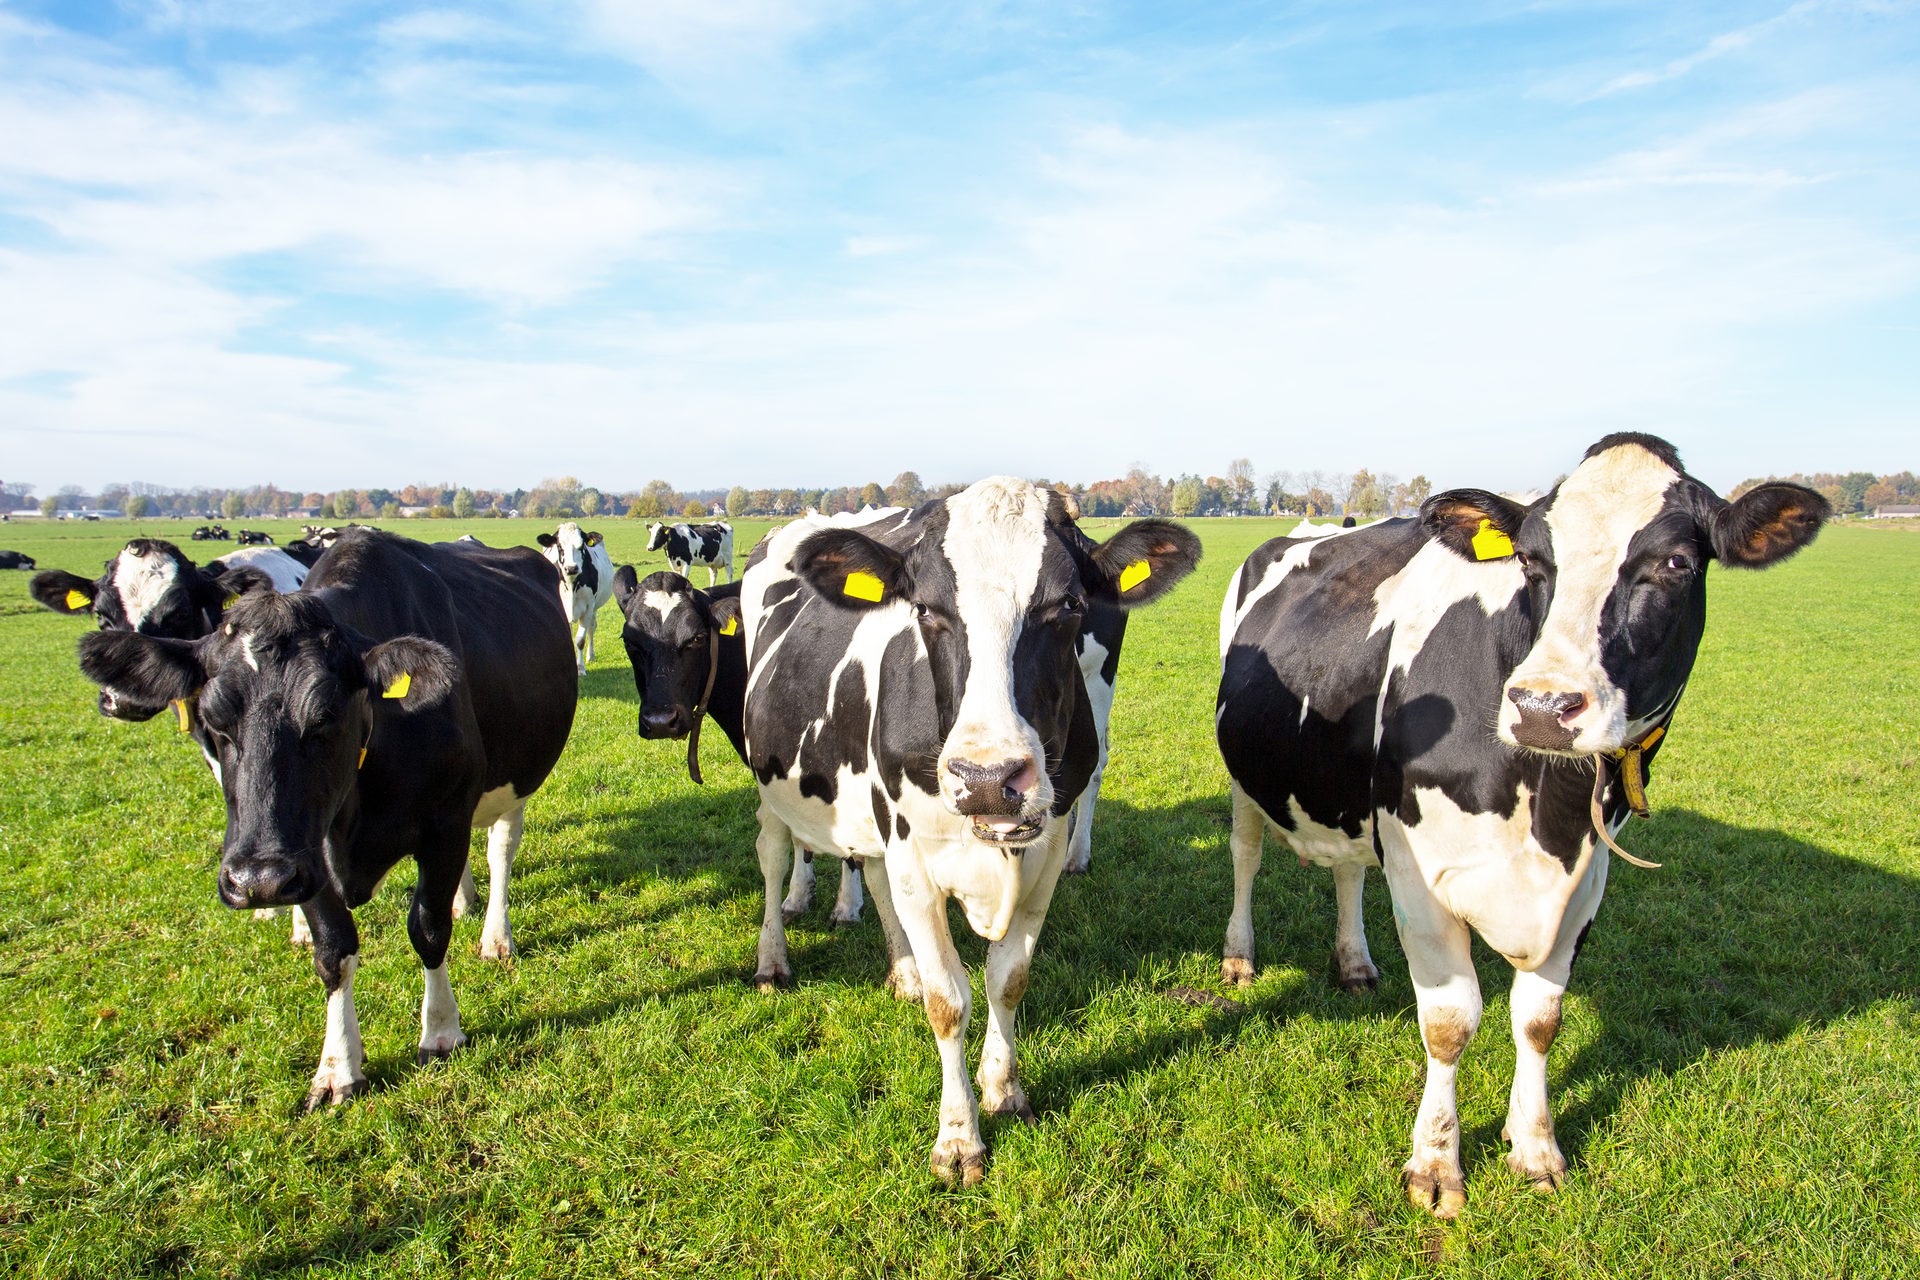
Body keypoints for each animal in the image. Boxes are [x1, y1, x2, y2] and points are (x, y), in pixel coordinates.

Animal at [73, 529, 577, 1106]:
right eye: (214, 721)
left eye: (327, 716)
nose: (255, 880)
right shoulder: (302, 852)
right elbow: (334, 949)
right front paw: (338, 1067)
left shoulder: (443, 822)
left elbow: (428, 928)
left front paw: (441, 1032)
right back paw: (463, 898)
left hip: (516, 779)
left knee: (500, 849)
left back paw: (496, 936)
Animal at [535, 523, 614, 673]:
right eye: (560, 546)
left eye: (581, 546)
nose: (571, 568)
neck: (572, 585)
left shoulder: (588, 608)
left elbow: (580, 640)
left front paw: (580, 668)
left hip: (595, 607)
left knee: (592, 628)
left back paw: (590, 656)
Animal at [740, 479, 1200, 1182]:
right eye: (927, 609)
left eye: (1069, 605)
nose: (988, 778)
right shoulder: (914, 855)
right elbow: (949, 1000)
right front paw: (958, 1137)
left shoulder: (1045, 854)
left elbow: (1007, 979)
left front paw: (1003, 1089)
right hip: (772, 786)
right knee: (772, 856)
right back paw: (773, 959)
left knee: (875, 879)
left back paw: (901, 971)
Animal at [1214, 433, 1827, 1218]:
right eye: (1534, 562)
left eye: (1677, 564)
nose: (1543, 707)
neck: (1547, 807)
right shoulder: (1419, 873)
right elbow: (1450, 1023)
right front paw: (1435, 1165)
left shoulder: (1586, 881)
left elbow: (1539, 1019)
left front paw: (1534, 1147)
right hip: (1245, 778)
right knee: (1246, 855)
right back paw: (1238, 955)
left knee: (1349, 869)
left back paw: (1353, 963)